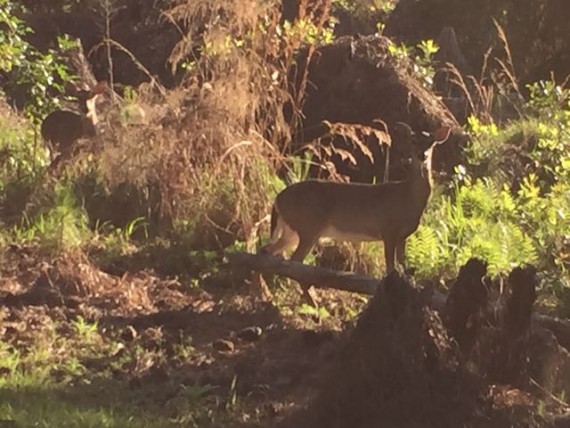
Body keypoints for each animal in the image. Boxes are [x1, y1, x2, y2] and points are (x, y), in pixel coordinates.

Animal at [258, 122, 448, 304]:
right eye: (413, 141)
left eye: (431, 143)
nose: (422, 155)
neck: (407, 197)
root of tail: (278, 198)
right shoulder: (388, 230)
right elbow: (390, 267)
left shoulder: (403, 236)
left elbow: (404, 266)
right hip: (308, 226)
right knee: (294, 262)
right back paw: (313, 301)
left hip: (292, 231)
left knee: (266, 251)